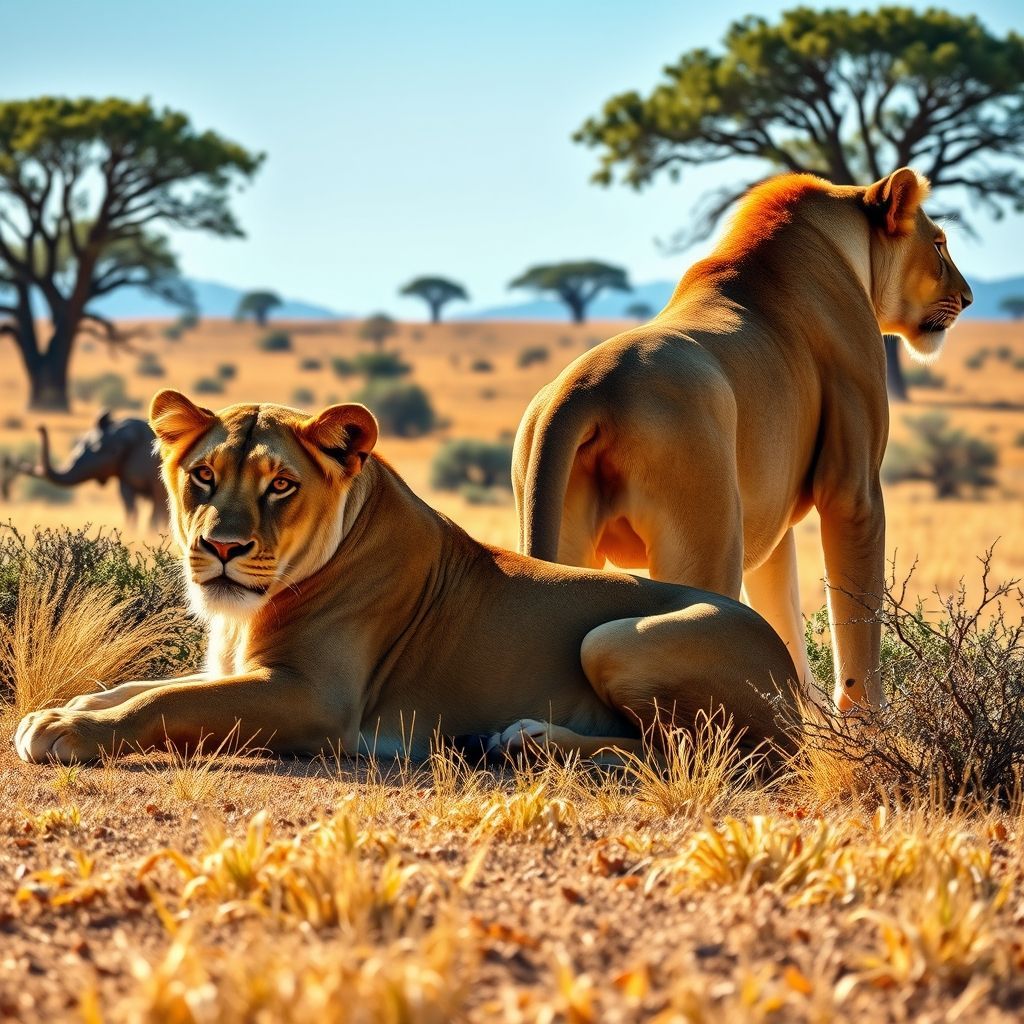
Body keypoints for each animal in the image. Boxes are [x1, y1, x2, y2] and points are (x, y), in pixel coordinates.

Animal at [14, 390, 798, 765]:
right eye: (203, 475)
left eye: (280, 486)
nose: (223, 546)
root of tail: (793, 671)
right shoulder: (235, 670)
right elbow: (141, 686)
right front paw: (59, 711)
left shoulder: (316, 699)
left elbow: (164, 703)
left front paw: (68, 732)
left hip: (614, 638)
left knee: (701, 754)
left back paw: (524, 740)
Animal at [513, 168, 972, 713]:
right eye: (939, 244)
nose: (968, 298)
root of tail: (586, 389)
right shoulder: (853, 489)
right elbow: (857, 622)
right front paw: (867, 722)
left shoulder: (770, 520)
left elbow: (782, 615)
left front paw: (805, 716)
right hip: (704, 544)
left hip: (566, 539)